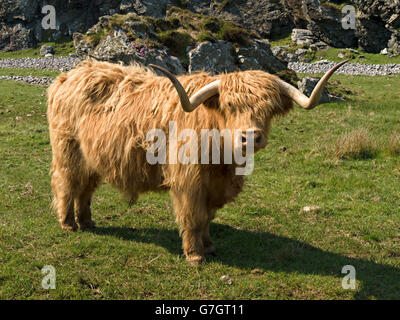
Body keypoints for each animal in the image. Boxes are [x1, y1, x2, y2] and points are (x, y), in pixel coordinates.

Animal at [47, 59, 346, 264]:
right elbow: (193, 215)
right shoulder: (188, 181)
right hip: (68, 151)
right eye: (230, 105)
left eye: (269, 108)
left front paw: (209, 246)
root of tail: (69, 76)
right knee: (66, 183)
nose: (251, 136)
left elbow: (207, 217)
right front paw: (195, 255)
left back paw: (87, 222)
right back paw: (68, 223)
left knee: (84, 189)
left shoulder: (213, 186)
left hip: (92, 159)